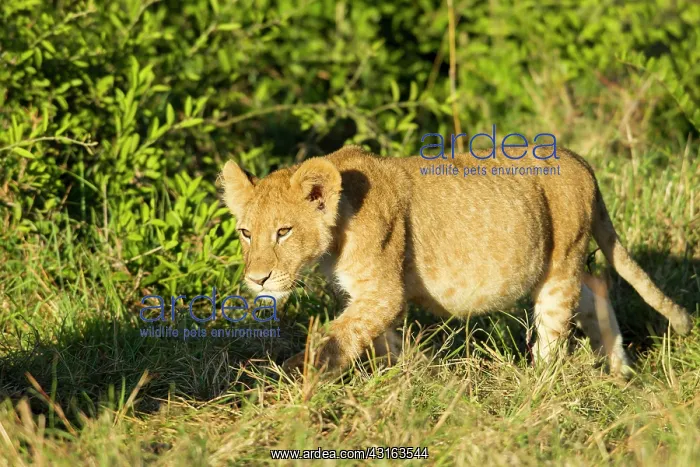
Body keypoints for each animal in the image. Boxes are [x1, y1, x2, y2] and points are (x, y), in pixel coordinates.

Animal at [220, 145, 693, 377]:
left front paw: (283, 382)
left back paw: (537, 386)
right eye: (246, 233)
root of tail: (583, 164)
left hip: (560, 261)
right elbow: (385, 342)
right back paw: (619, 369)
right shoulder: (370, 297)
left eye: (284, 231)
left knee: (556, 330)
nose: (258, 280)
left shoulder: (383, 291)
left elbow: (334, 340)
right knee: (596, 287)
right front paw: (414, 376)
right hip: (567, 261)